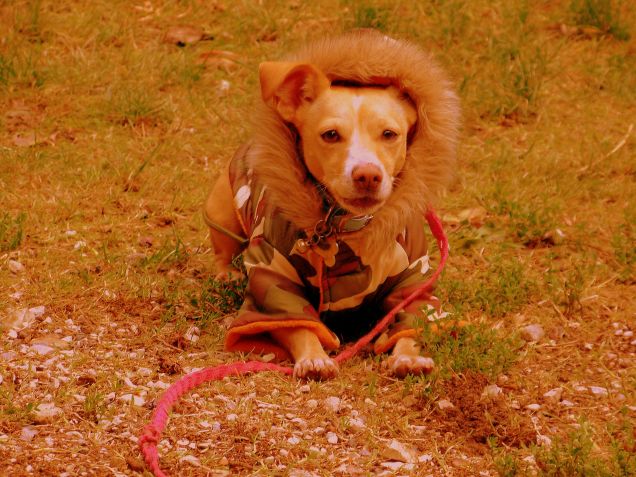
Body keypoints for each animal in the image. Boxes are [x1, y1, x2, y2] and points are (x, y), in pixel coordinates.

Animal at [206, 29, 460, 380]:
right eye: (330, 135)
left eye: (389, 134)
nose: (368, 175)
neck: (345, 226)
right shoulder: (273, 278)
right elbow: (297, 324)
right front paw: (314, 358)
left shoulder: (414, 280)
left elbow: (409, 322)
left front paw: (408, 357)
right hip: (221, 212)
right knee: (223, 250)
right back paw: (226, 274)